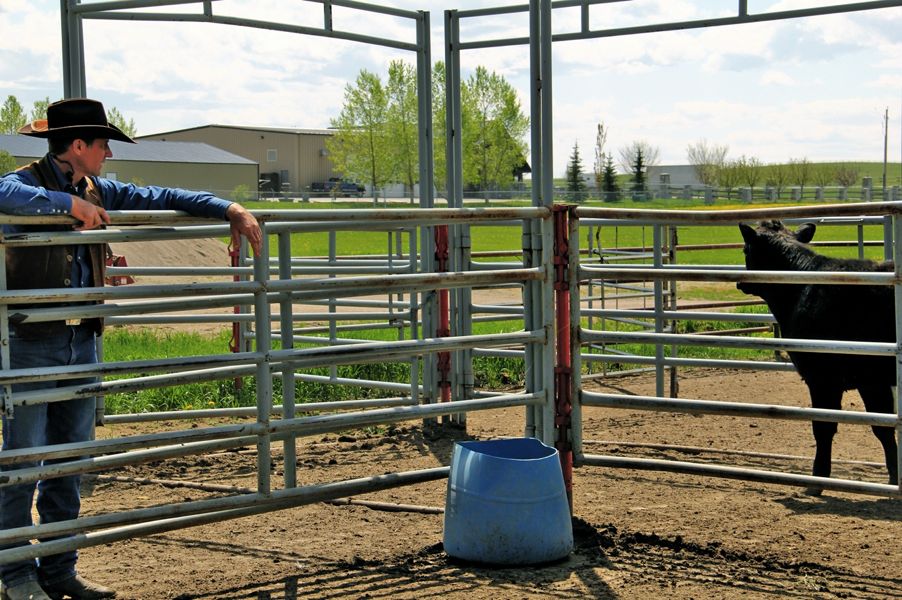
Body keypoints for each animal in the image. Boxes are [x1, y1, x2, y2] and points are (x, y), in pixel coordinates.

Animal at [737, 220, 898, 495]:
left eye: (746, 249)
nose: (740, 282)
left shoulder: (822, 377)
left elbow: (824, 427)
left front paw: (817, 481)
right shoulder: (871, 381)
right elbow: (883, 427)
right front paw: (895, 479)